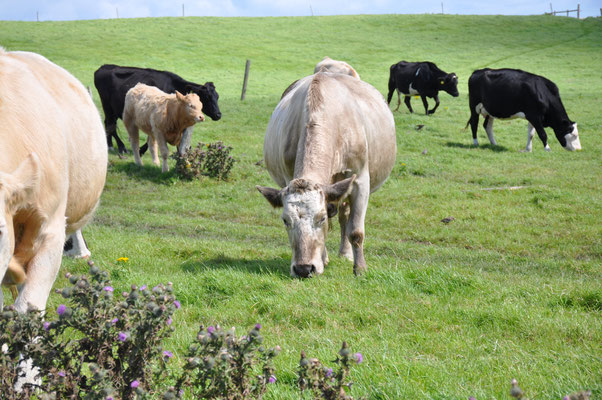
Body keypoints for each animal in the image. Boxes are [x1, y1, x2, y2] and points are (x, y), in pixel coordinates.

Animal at [256, 72, 394, 276]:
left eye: (320, 218)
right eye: (285, 220)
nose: (303, 268)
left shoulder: (360, 180)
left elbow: (356, 231)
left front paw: (360, 269)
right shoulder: (288, 177)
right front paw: (323, 259)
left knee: (345, 216)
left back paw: (346, 253)